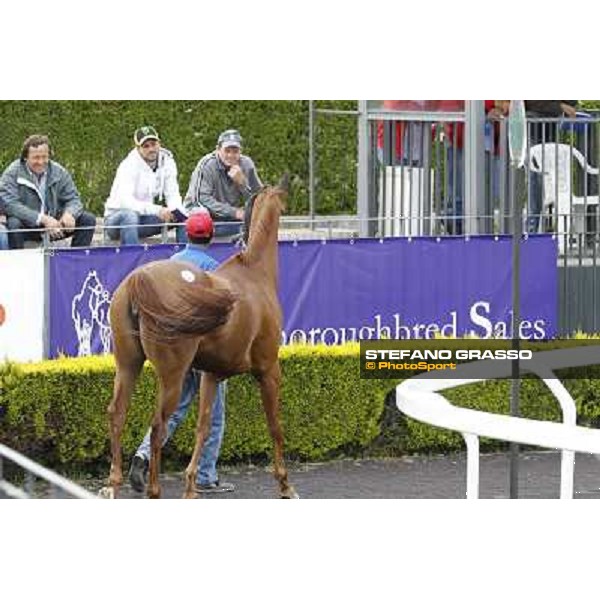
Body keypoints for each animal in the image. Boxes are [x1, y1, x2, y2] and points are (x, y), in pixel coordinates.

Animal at [106, 177, 298, 496]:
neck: (254, 273)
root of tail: (138, 281)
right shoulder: (269, 369)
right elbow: (275, 426)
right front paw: (285, 484)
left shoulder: (211, 375)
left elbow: (203, 426)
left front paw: (191, 484)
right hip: (171, 375)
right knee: (157, 425)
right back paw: (153, 489)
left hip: (128, 364)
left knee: (117, 414)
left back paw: (114, 483)